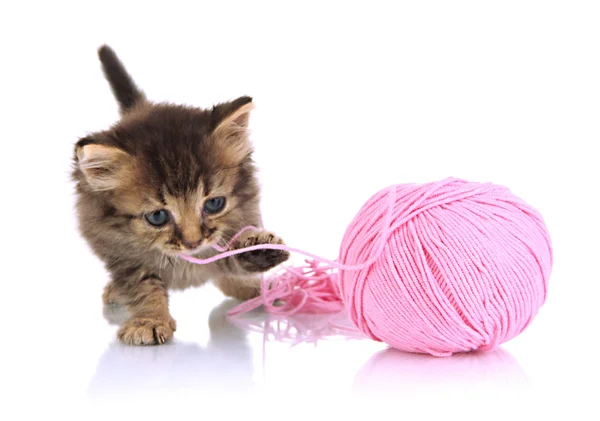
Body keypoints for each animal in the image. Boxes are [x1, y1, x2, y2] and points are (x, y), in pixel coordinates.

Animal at [72, 45, 288, 344]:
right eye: (157, 217)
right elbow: (144, 286)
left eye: (214, 204)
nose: (193, 242)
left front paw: (257, 250)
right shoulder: (122, 252)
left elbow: (229, 258)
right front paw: (150, 320)